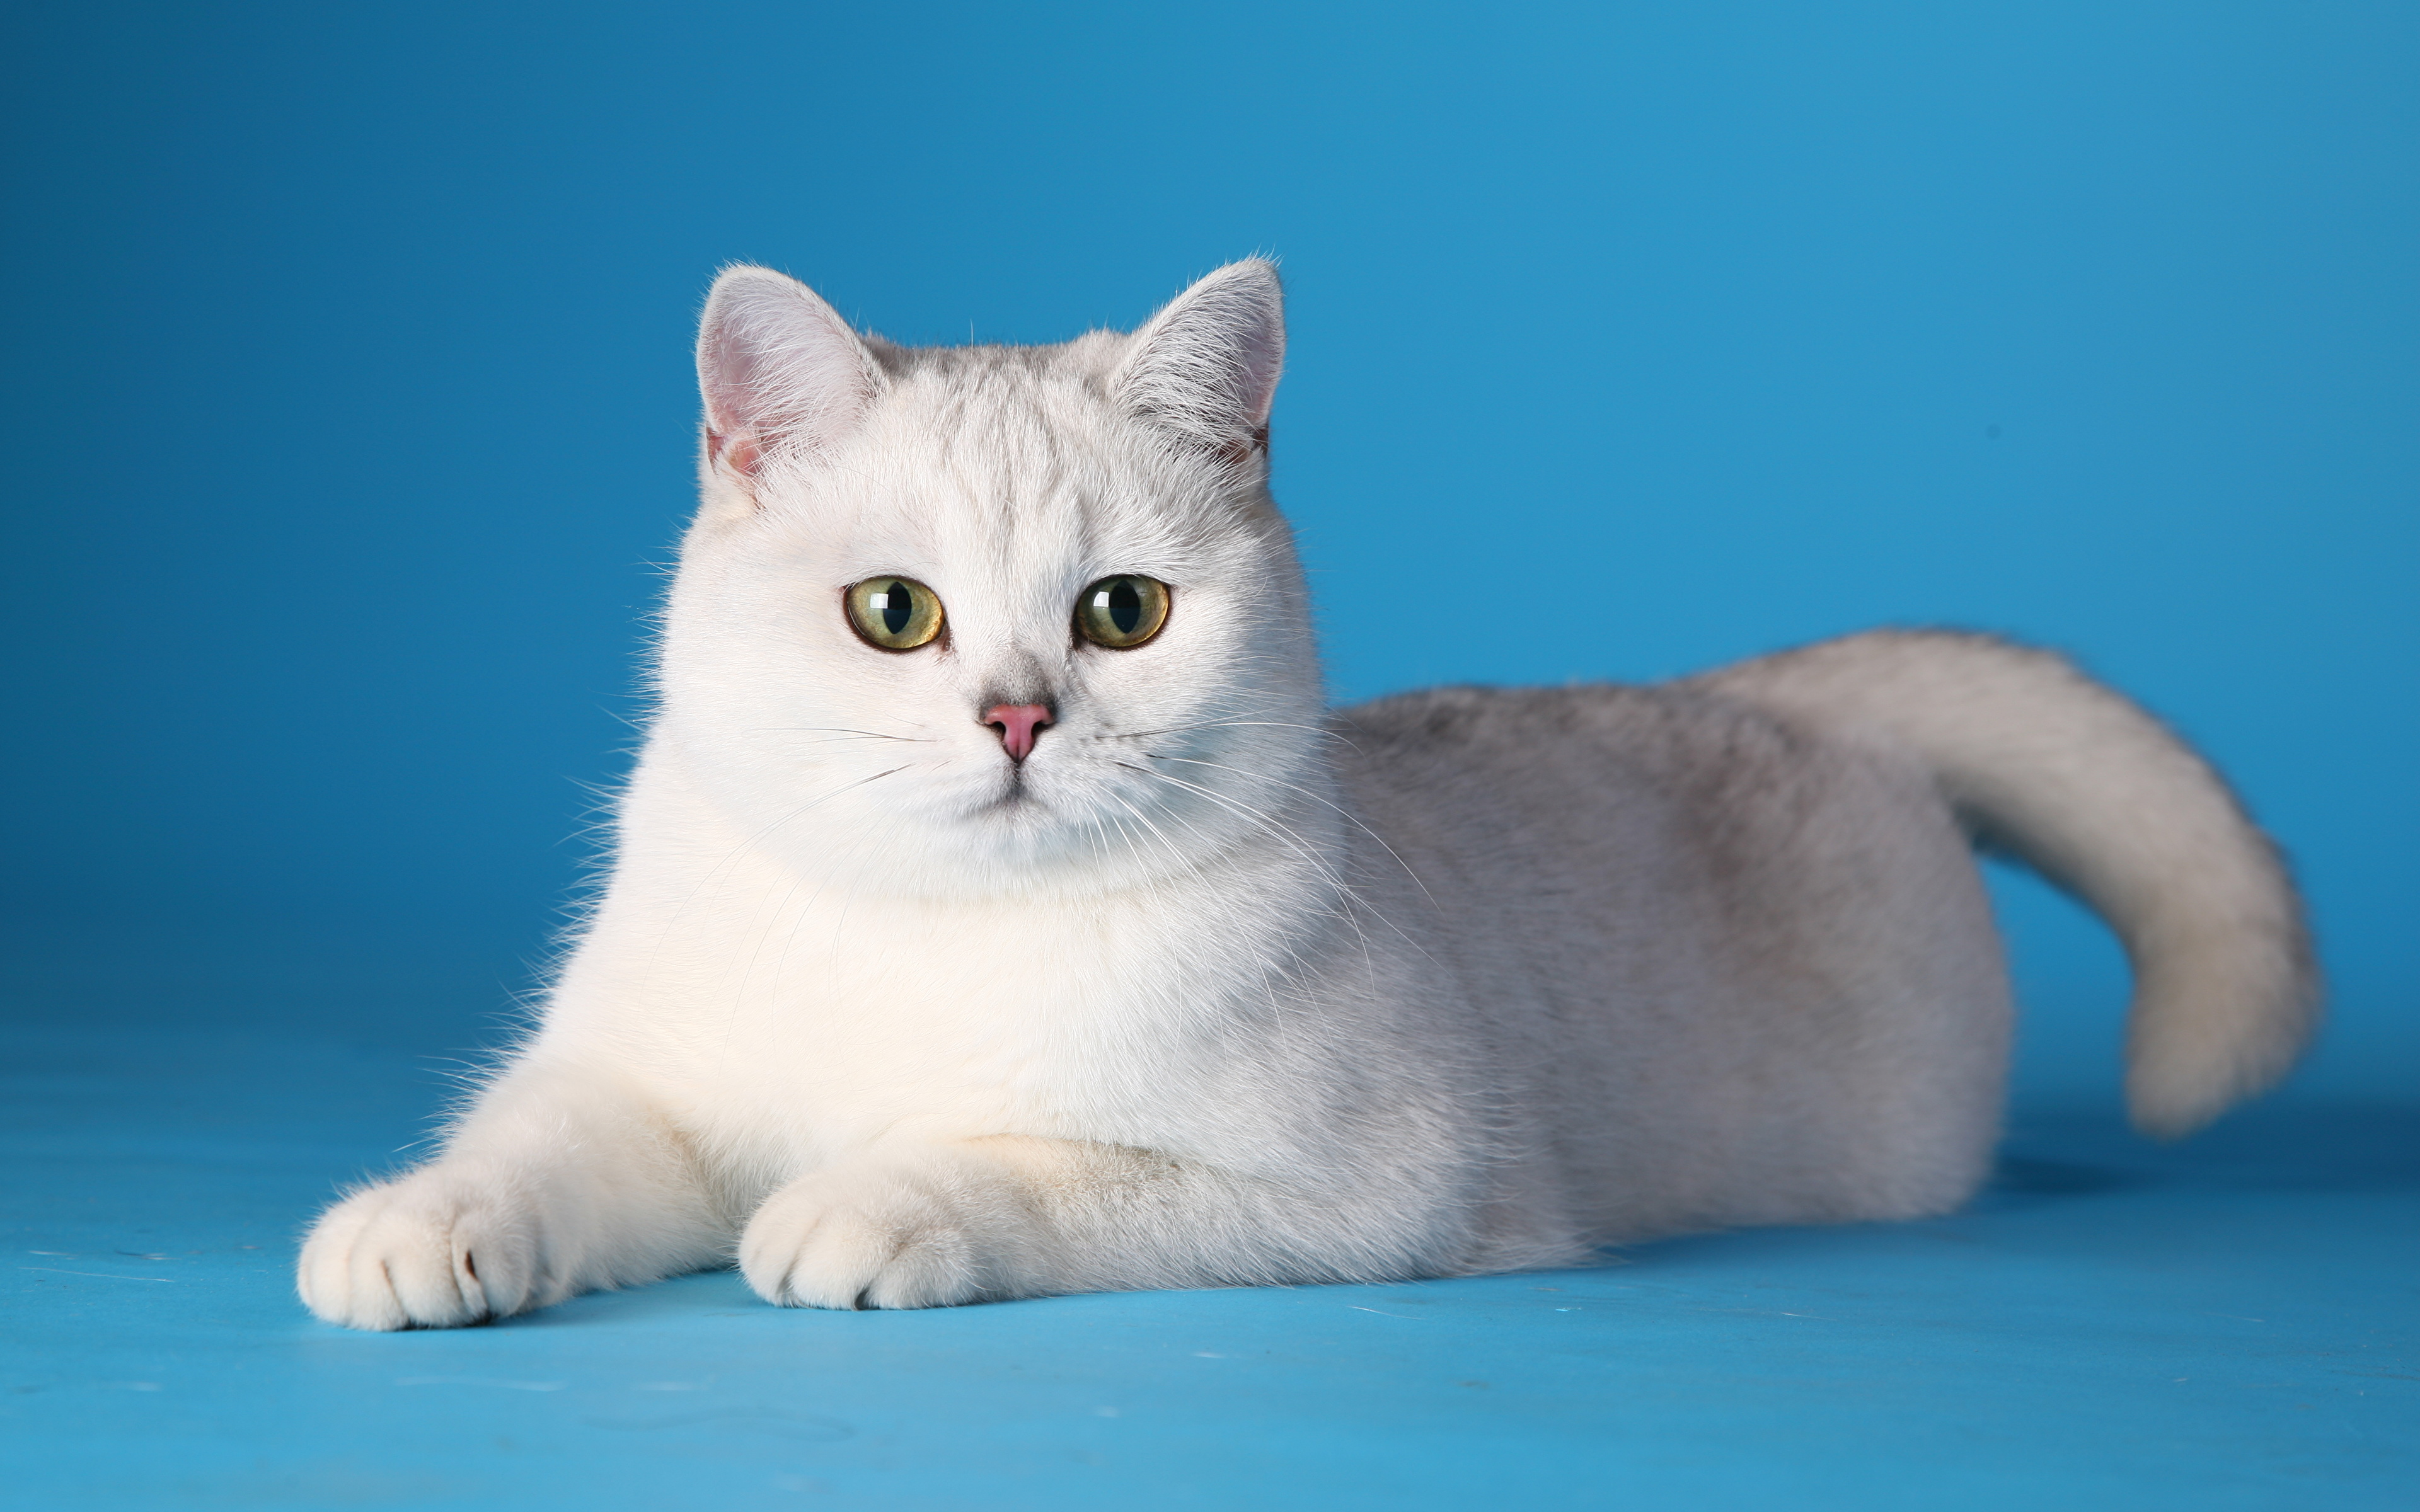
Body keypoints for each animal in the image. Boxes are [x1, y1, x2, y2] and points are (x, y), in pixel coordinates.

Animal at [292, 258, 2313, 1315]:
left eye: (1120, 614)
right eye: (893, 614)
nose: (1017, 719)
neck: (922, 940)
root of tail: (1761, 684)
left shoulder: (1351, 1195)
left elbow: (1019, 1166)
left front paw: (869, 1205)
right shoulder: (647, 1100)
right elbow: (530, 1147)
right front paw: (415, 1227)